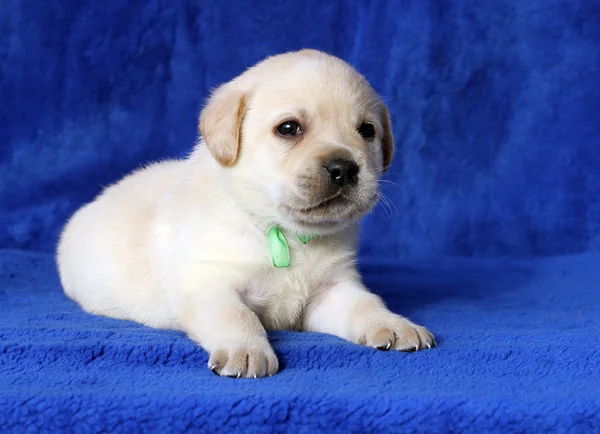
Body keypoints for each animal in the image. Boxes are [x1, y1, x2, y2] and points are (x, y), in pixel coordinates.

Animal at [56, 49, 434, 378]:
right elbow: (237, 316)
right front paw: (248, 351)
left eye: (367, 130)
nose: (344, 169)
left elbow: (367, 304)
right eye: (289, 128)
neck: (286, 232)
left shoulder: (333, 288)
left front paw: (395, 324)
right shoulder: (206, 282)